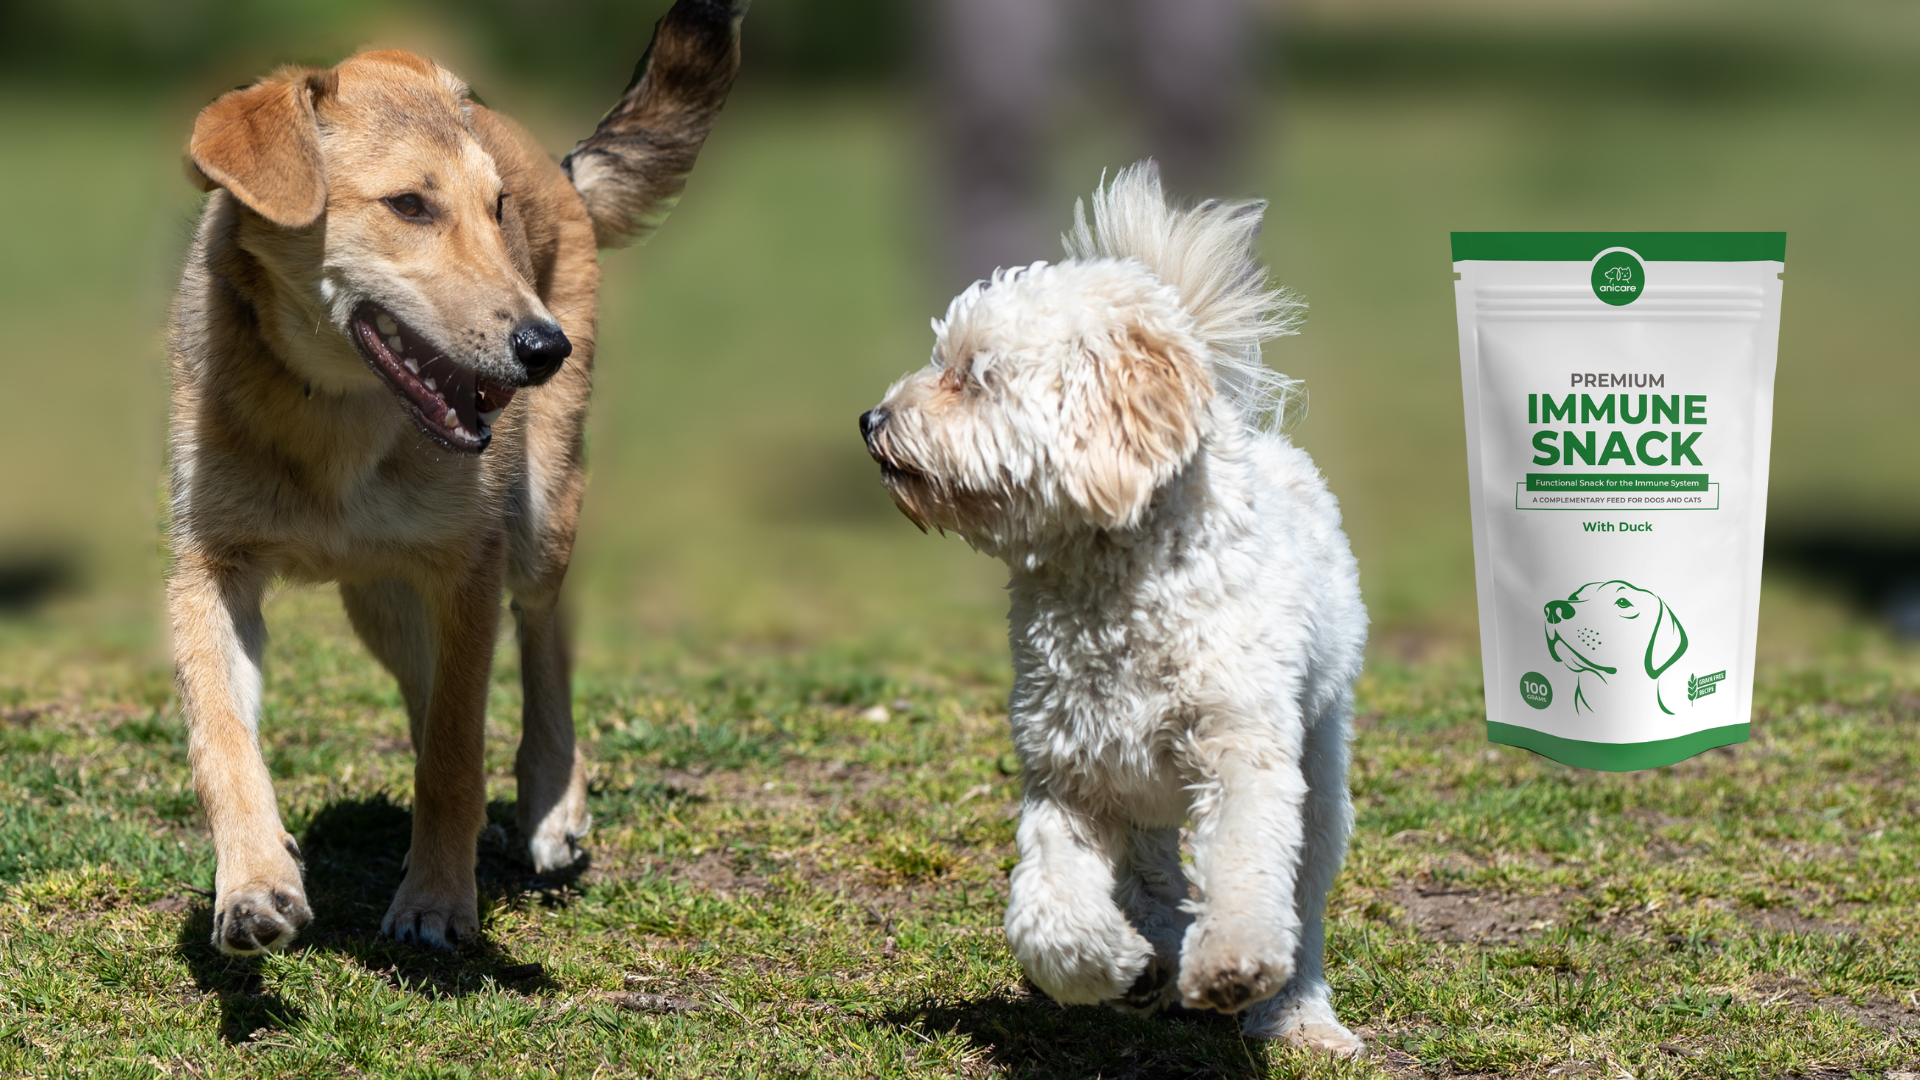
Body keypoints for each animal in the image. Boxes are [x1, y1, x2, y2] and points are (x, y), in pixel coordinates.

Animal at [168, 0, 744, 945]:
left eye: (495, 208)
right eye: (408, 205)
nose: (546, 347)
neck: (332, 414)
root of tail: (556, 164)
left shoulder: (469, 567)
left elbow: (453, 752)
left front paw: (437, 899)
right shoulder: (210, 568)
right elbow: (223, 741)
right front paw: (254, 883)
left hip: (539, 516)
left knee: (542, 633)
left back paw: (550, 801)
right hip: (380, 598)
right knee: (429, 682)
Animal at [864, 161, 1374, 1053]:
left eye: (974, 373)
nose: (871, 420)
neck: (1112, 586)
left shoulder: (1241, 752)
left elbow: (1247, 868)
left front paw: (1232, 963)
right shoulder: (1071, 777)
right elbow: (1045, 917)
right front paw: (1119, 969)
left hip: (1318, 763)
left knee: (1300, 895)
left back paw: (1299, 1012)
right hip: (1141, 802)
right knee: (1153, 876)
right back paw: (1160, 955)